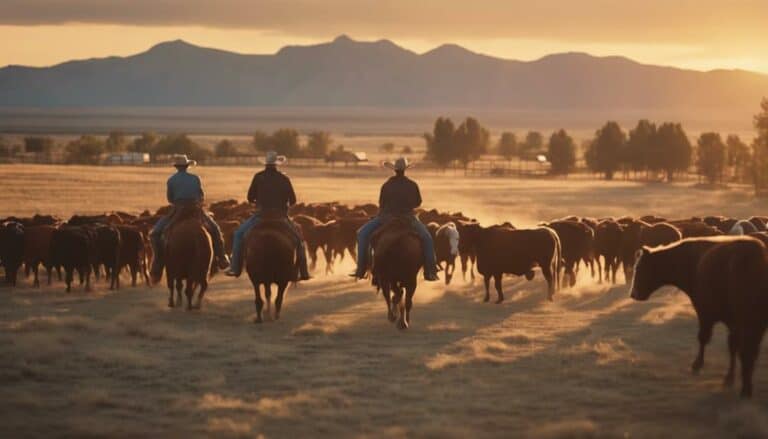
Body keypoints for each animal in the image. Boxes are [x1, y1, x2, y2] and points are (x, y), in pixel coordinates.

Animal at [632, 237, 768, 398]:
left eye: (639, 268)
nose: (633, 294)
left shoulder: (705, 313)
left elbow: (703, 338)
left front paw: (697, 365)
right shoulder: (734, 324)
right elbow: (733, 346)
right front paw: (729, 378)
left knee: (747, 351)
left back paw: (745, 388)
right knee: (749, 351)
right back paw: (746, 387)